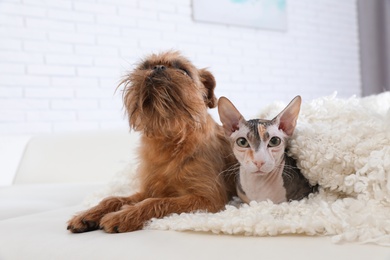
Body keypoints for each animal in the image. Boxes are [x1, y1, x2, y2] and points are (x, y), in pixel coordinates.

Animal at [66, 51, 238, 234]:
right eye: (145, 66)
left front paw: (122, 216)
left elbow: (158, 201)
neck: (169, 138)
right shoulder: (149, 190)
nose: (158, 67)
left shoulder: (208, 200)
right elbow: (113, 199)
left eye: (183, 70)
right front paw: (89, 213)